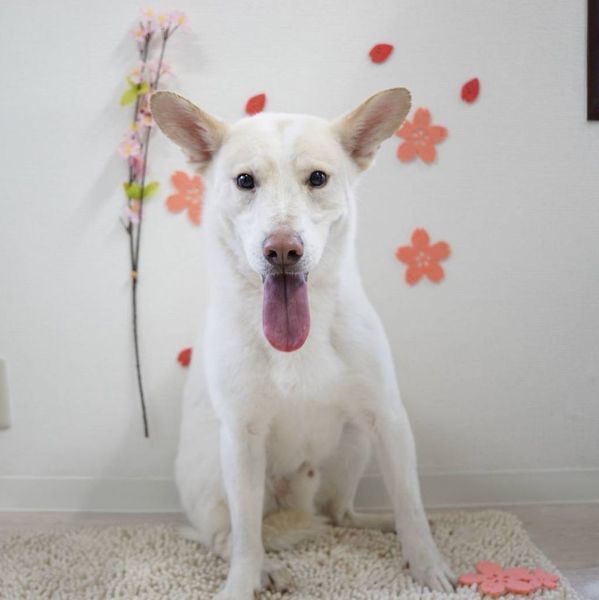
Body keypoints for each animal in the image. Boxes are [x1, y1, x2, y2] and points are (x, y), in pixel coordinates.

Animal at [151, 88, 456, 599]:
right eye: (244, 180)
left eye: (318, 178)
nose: (282, 250)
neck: (300, 339)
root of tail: (296, 503)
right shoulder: (242, 438)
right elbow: (246, 540)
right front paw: (242, 583)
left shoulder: (388, 418)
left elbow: (410, 505)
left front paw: (427, 565)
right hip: (215, 468)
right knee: (226, 536)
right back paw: (264, 568)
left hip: (355, 445)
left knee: (339, 514)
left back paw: (377, 524)